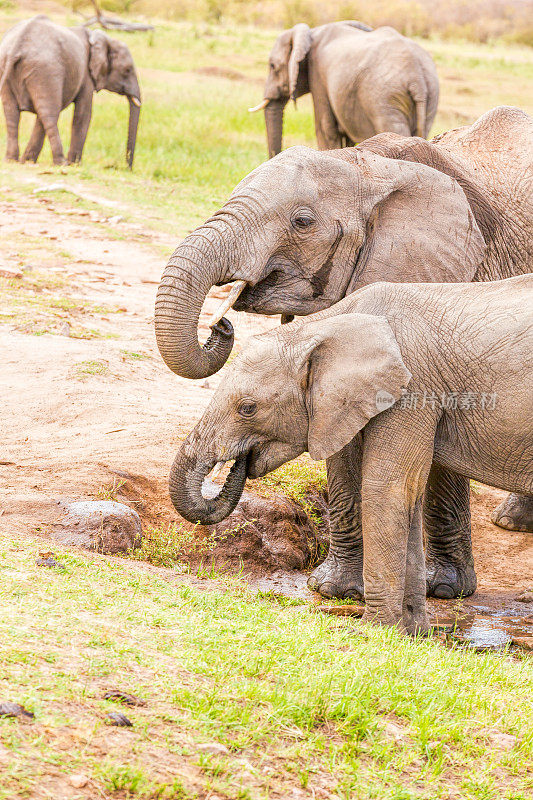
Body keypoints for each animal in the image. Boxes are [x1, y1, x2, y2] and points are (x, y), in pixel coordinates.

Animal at [0, 15, 141, 167]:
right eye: (127, 70)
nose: (127, 168)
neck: (105, 39)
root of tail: (18, 44)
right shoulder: (86, 75)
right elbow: (83, 114)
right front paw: (75, 164)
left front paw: (27, 161)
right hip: (46, 70)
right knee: (49, 114)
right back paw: (61, 163)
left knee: (13, 115)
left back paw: (12, 160)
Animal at [154, 108, 532, 600]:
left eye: (302, 222)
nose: (221, 323)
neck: (366, 166)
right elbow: (338, 435)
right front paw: (333, 589)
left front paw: (444, 589)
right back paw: (513, 521)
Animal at [166, 278, 532, 636]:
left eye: (247, 408)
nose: (221, 323)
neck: (327, 326)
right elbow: (409, 494)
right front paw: (411, 634)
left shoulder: (413, 392)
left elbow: (385, 490)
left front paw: (373, 633)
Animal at [248, 20, 436, 158]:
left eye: (273, 66)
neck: (313, 32)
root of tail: (417, 78)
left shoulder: (318, 75)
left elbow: (325, 129)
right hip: (430, 98)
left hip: (385, 99)